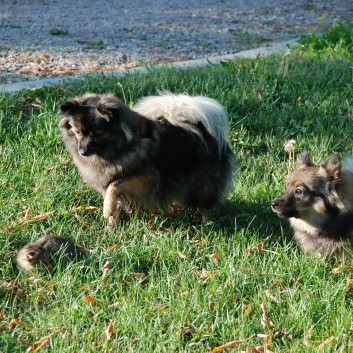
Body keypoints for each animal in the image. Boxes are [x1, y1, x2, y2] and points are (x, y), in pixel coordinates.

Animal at [58, 92, 236, 224]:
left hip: (200, 185)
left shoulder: (145, 178)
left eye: (97, 133)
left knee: (206, 206)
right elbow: (114, 199)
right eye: (78, 131)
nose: (82, 151)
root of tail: (204, 131)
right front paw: (111, 226)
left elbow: (114, 186)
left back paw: (206, 223)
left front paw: (106, 210)